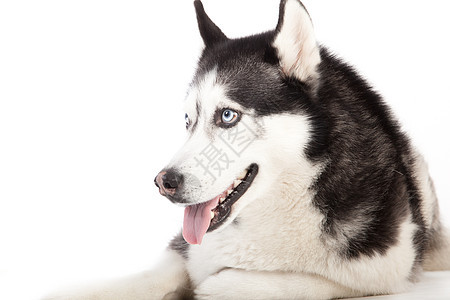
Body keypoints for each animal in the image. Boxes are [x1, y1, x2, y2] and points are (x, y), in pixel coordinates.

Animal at [47, 0, 448, 300]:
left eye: (227, 115)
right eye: (187, 120)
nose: (164, 182)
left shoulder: (387, 267)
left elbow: (293, 281)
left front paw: (211, 286)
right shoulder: (183, 247)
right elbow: (148, 276)